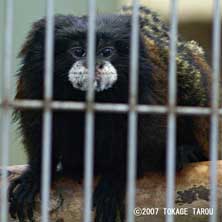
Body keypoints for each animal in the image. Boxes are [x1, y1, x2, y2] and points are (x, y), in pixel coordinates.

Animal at [8, 6, 212, 221]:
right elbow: (38, 132)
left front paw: (114, 179)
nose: (95, 65)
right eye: (78, 52)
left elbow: (146, 138)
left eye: (106, 52)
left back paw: (187, 151)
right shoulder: (34, 83)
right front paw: (36, 175)